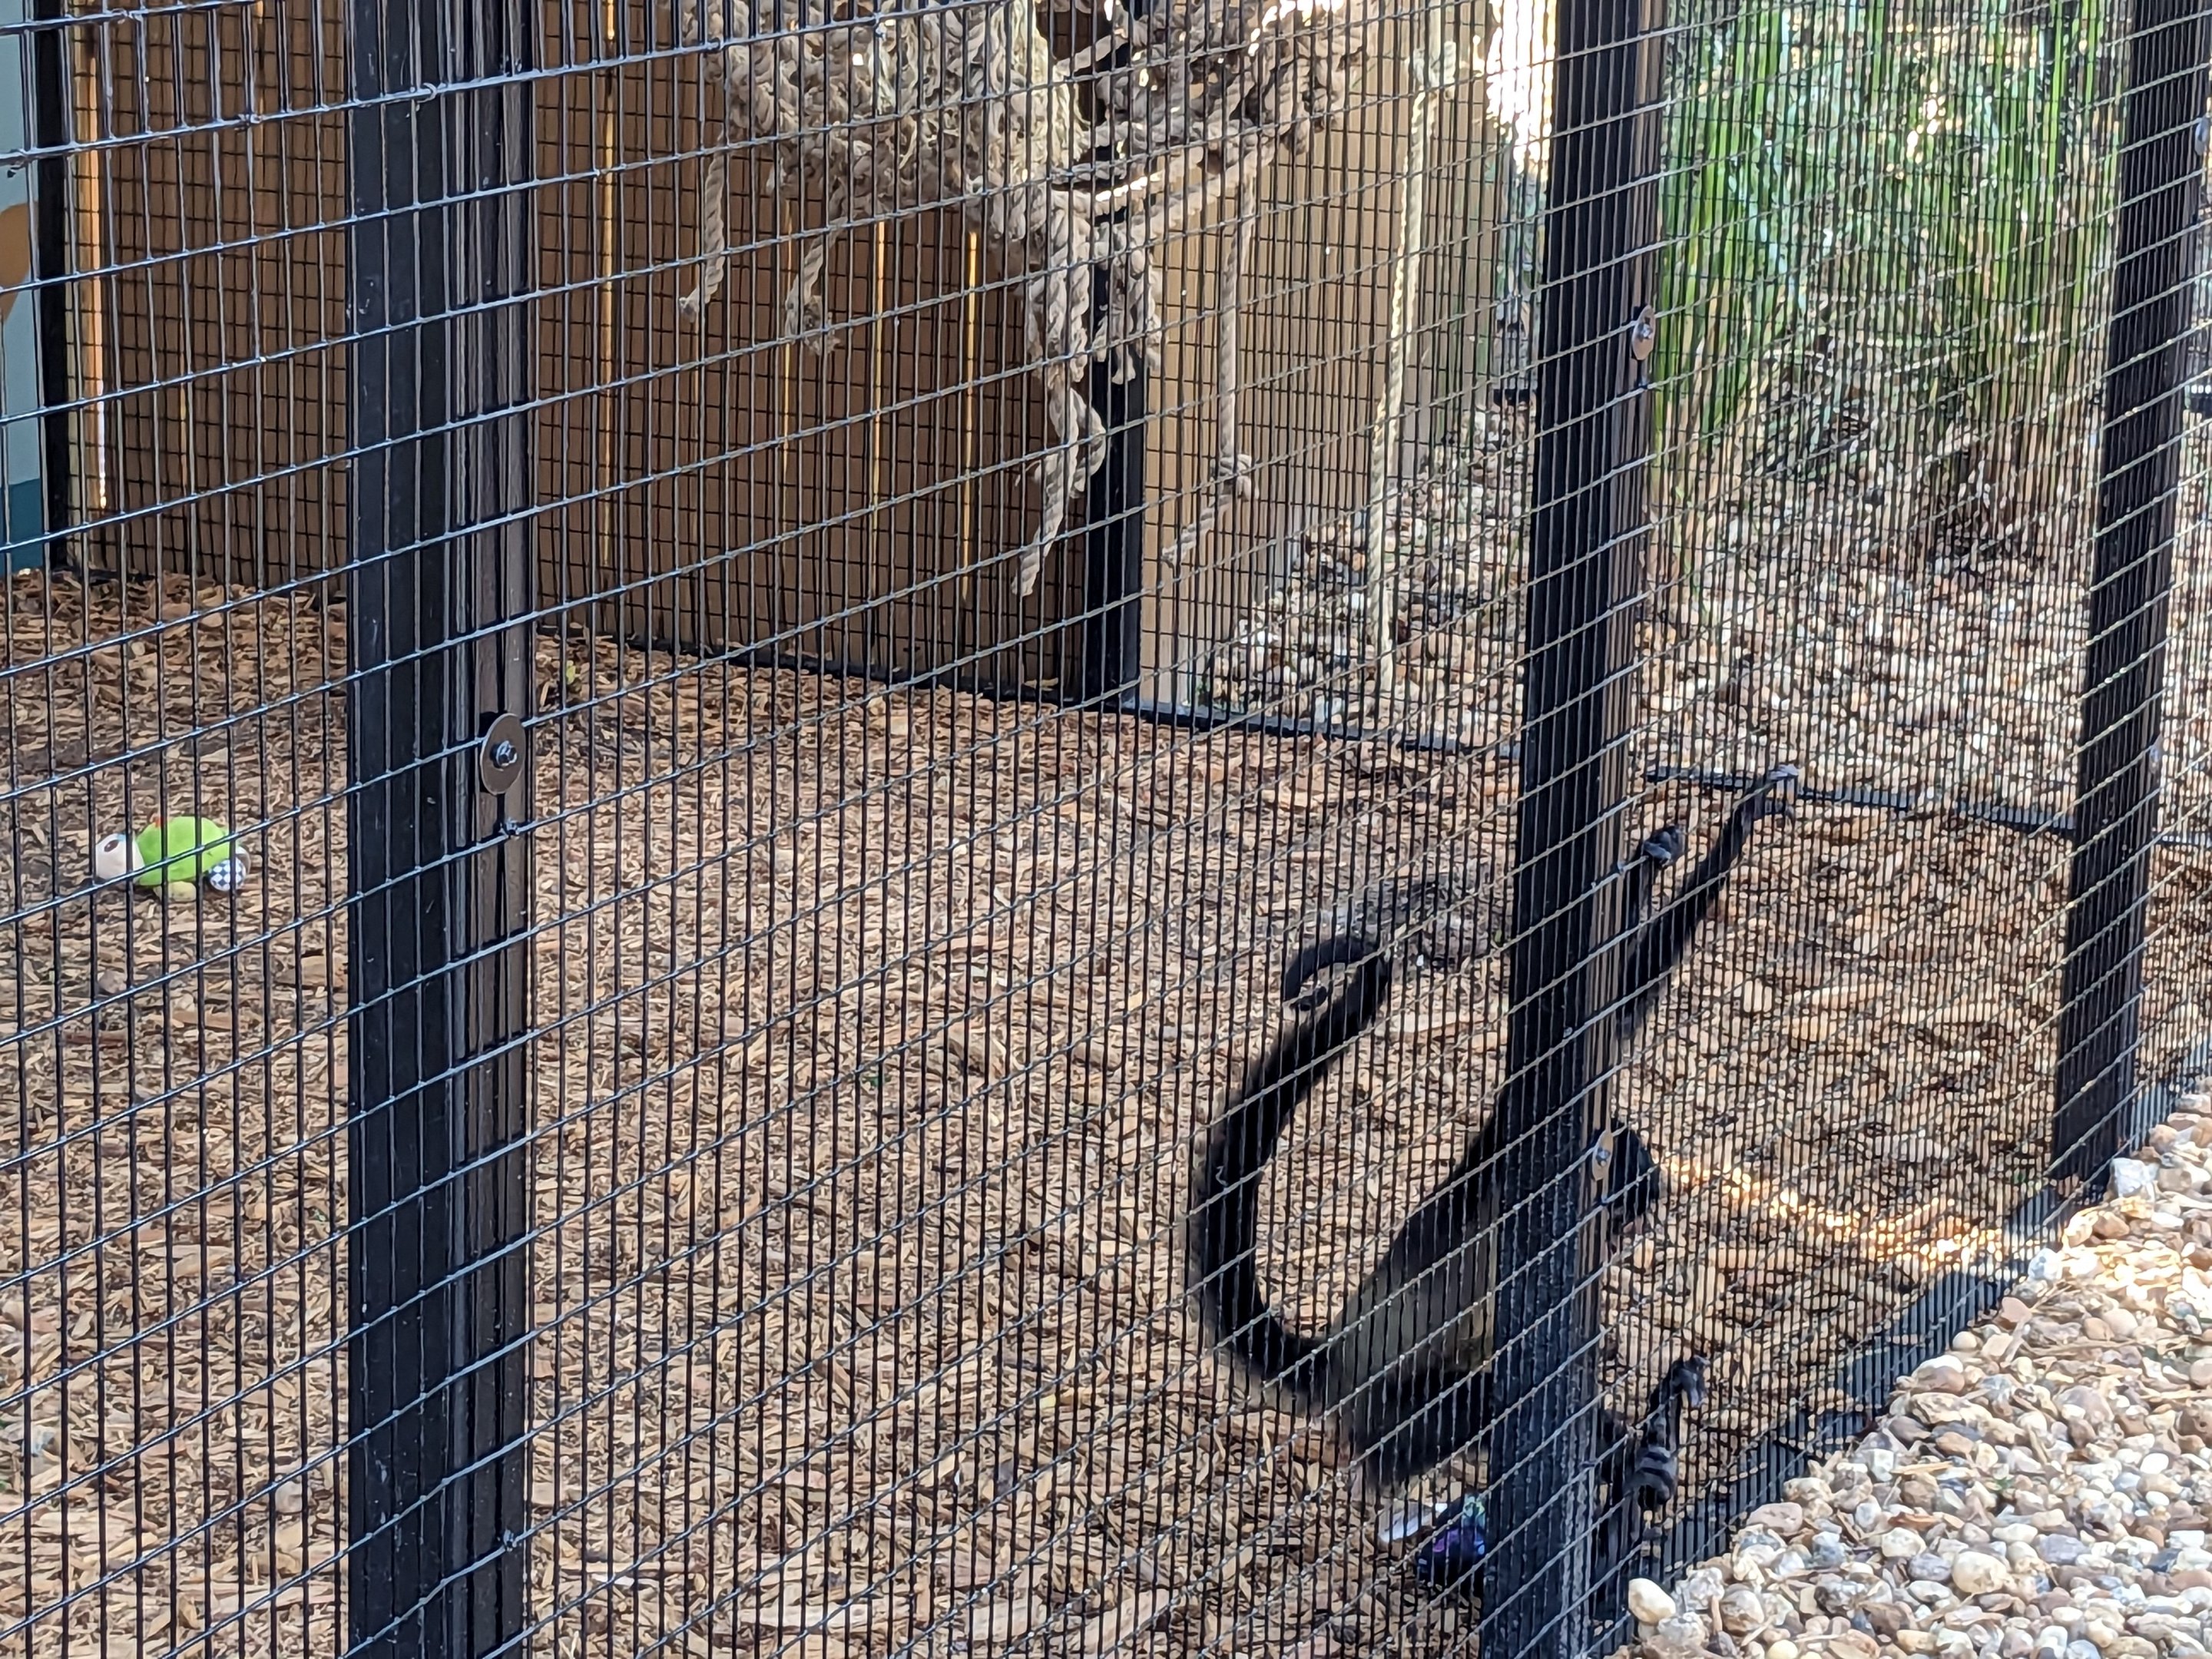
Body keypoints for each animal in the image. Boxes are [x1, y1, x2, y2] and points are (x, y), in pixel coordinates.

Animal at [1186, 766, 1797, 1600]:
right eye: (1632, 1208)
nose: (1634, 1230)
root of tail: (1338, 1360)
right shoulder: (1517, 1149)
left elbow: (1611, 1019)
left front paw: (1681, 849)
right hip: (1396, 1419)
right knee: (1479, 1399)